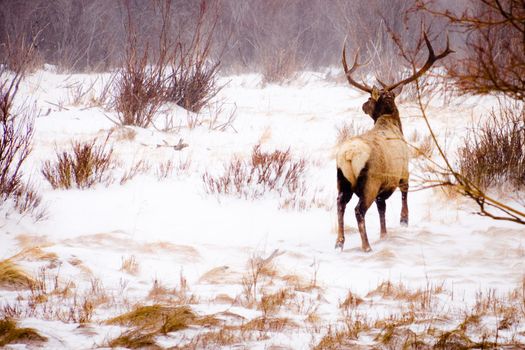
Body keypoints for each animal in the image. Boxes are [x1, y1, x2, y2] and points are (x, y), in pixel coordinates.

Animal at [336, 32, 450, 252]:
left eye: (370, 100)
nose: (363, 105)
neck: (391, 123)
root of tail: (349, 155)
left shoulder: (384, 187)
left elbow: (382, 209)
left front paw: (384, 234)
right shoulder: (404, 171)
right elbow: (404, 194)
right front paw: (403, 220)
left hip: (341, 181)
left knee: (340, 204)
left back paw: (339, 242)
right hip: (370, 182)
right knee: (359, 210)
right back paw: (366, 246)